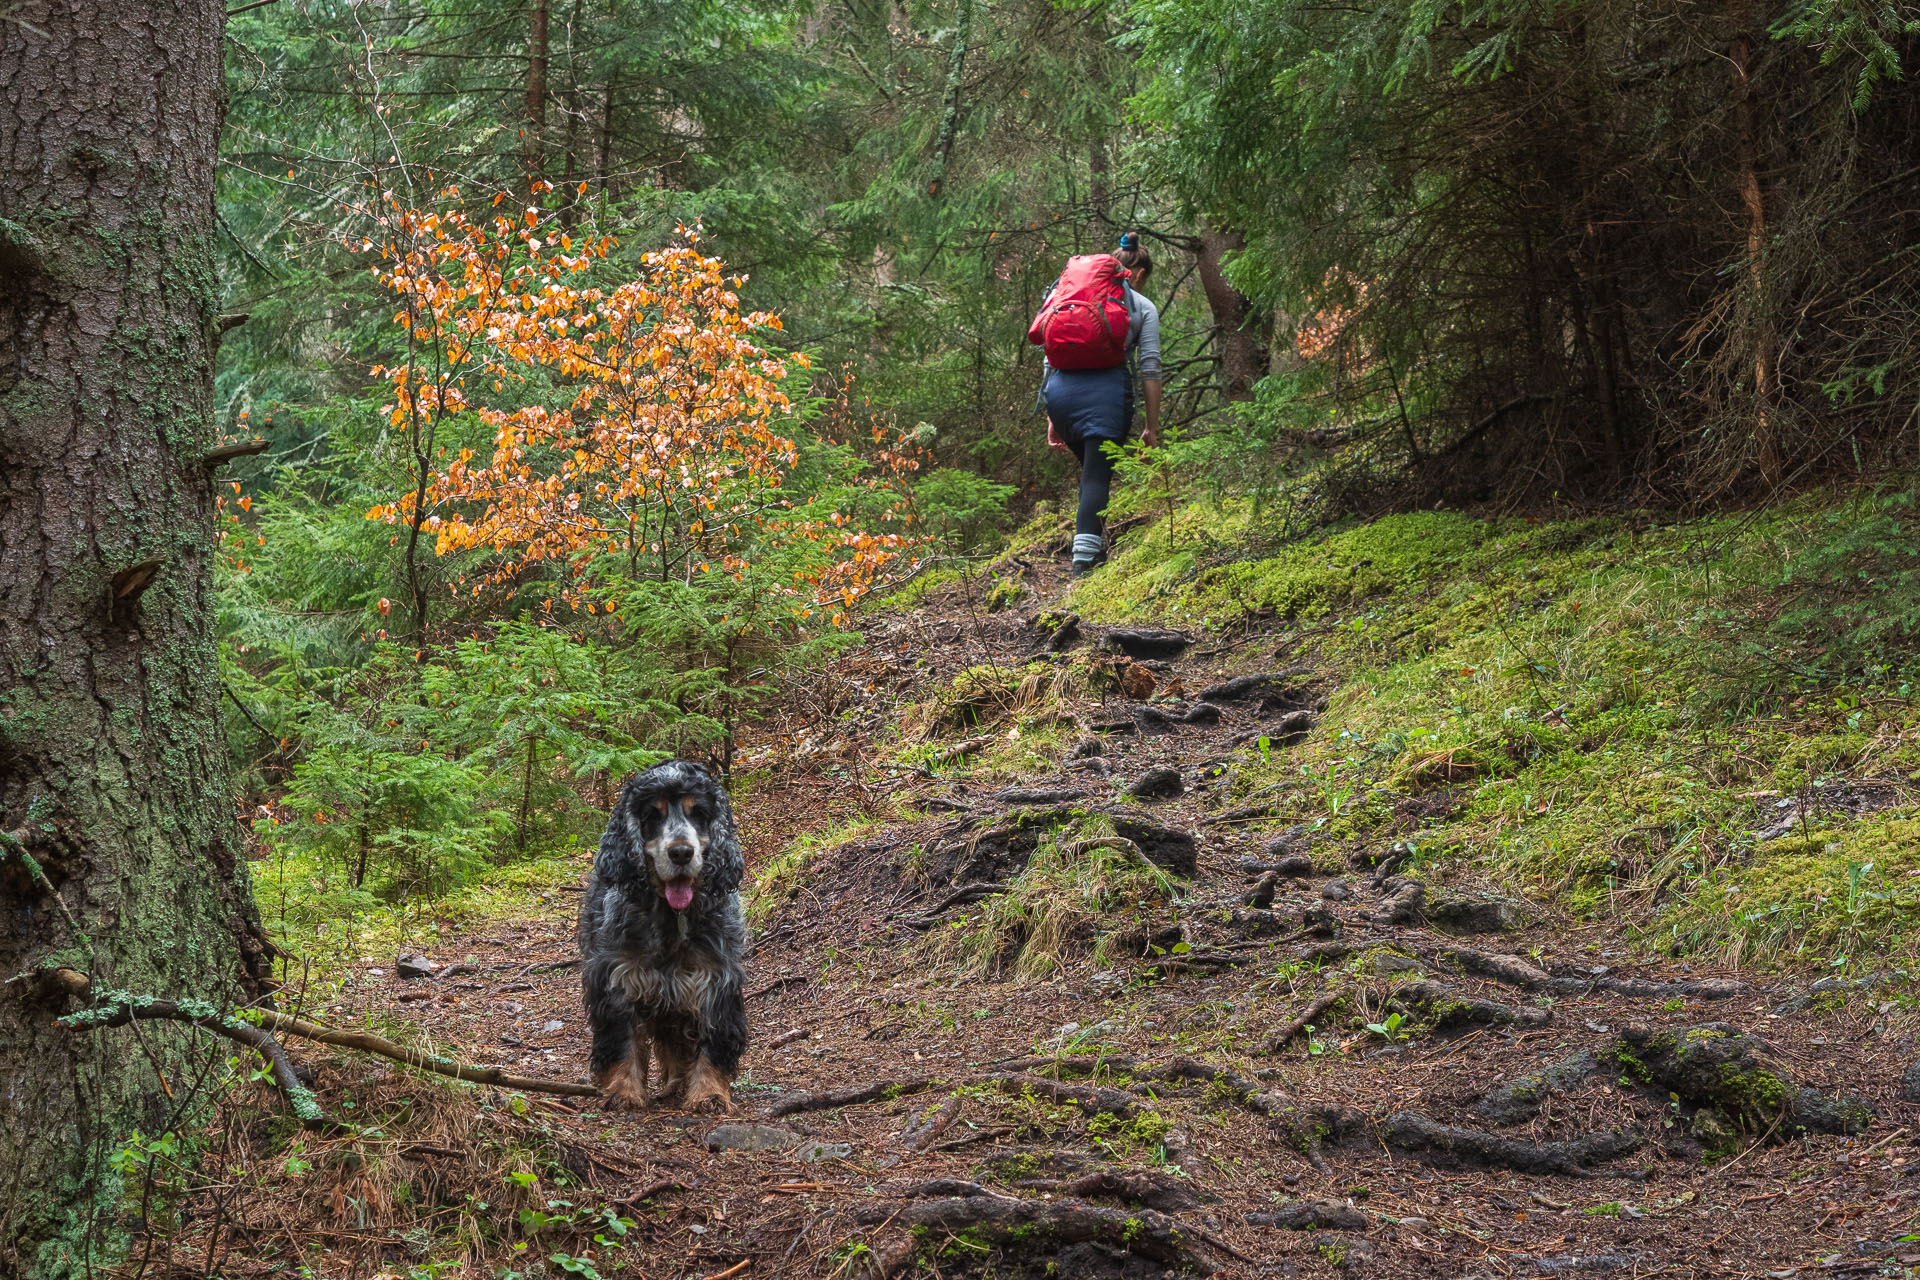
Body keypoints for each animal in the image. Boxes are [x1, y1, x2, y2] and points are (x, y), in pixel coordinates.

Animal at [572, 759, 744, 1113]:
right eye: (653, 814)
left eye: (698, 812)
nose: (681, 853)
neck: (672, 917)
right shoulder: (618, 979)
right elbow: (623, 1042)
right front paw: (623, 1092)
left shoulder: (715, 980)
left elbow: (713, 1043)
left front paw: (710, 1094)